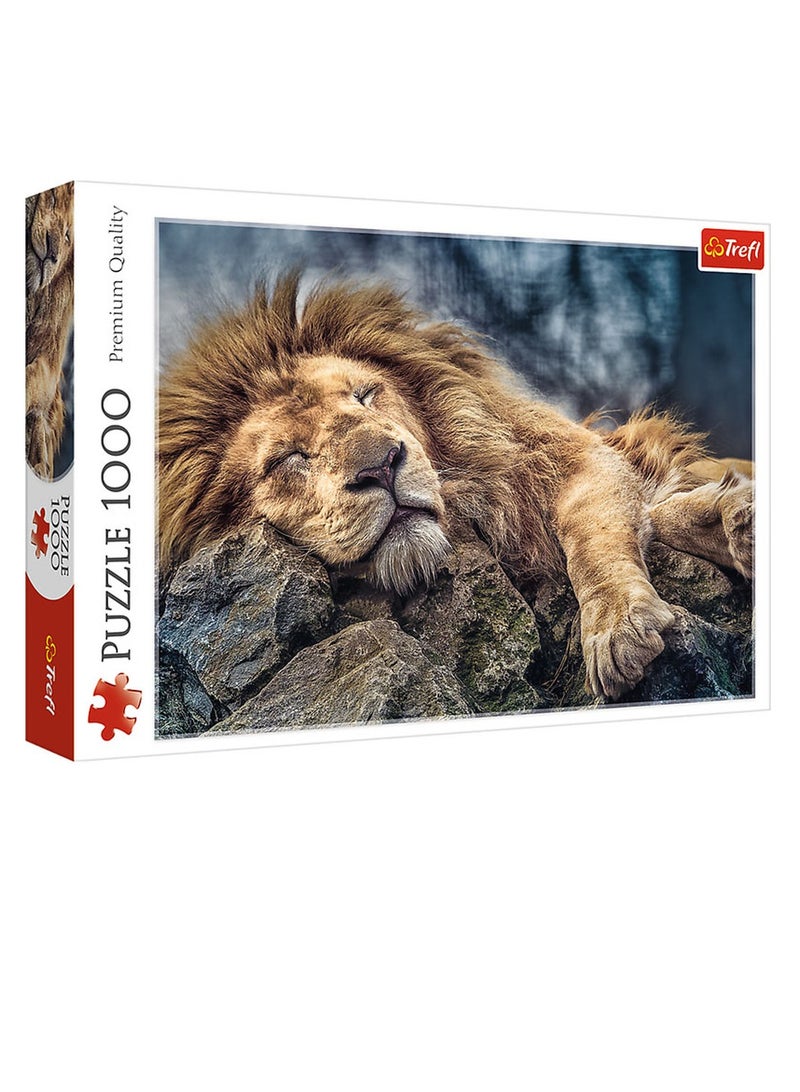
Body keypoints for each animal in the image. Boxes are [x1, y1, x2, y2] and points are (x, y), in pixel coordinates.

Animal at [158, 273, 753, 701]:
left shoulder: (574, 458)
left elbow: (594, 537)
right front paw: (730, 520)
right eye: (288, 458)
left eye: (366, 395)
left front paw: (620, 626)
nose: (381, 466)